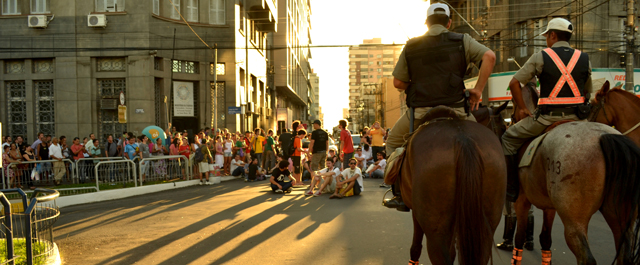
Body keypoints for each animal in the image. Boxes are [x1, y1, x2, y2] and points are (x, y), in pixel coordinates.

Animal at [398, 105, 508, 264]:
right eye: (504, 127)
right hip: (488, 224)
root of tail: (463, 140)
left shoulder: (417, 214)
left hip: (435, 231)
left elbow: (415, 248)